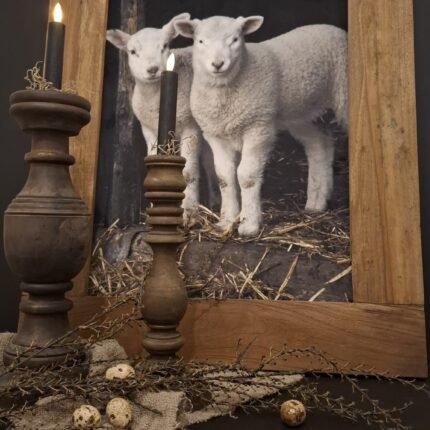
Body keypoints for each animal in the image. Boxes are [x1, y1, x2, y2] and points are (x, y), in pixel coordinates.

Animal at [107, 13, 215, 223]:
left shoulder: (190, 126)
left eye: (164, 46)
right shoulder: (148, 129)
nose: (152, 69)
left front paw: (189, 212)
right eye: (132, 51)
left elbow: (188, 172)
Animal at [174, 16, 346, 237]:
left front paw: (249, 225)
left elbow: (246, 176)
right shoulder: (215, 133)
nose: (218, 64)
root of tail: (331, 27)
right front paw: (226, 222)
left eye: (235, 39)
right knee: (319, 144)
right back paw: (316, 202)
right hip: (302, 113)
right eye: (200, 41)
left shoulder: (258, 127)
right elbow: (224, 177)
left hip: (343, 95)